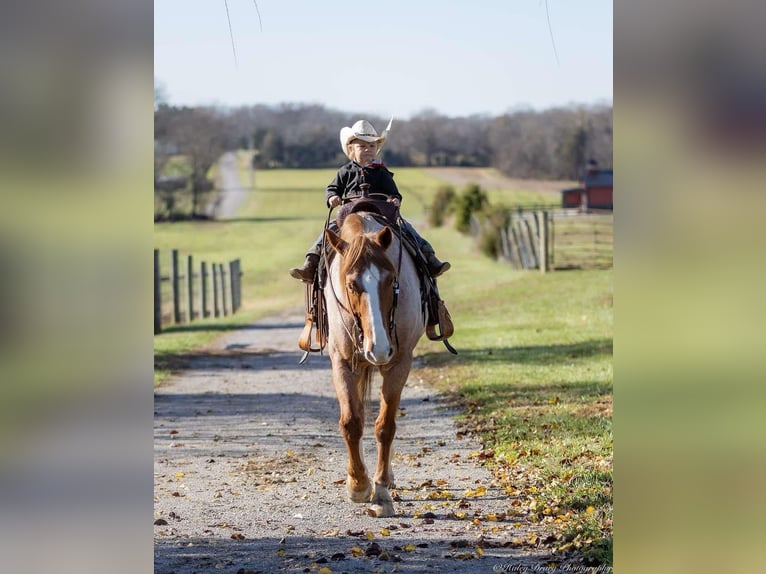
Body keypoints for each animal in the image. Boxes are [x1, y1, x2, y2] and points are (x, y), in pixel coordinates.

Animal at [322, 210, 426, 516]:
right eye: (351, 284)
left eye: (392, 281)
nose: (378, 347)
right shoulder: (342, 362)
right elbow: (351, 422)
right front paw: (358, 485)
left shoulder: (400, 363)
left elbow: (385, 426)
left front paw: (380, 493)